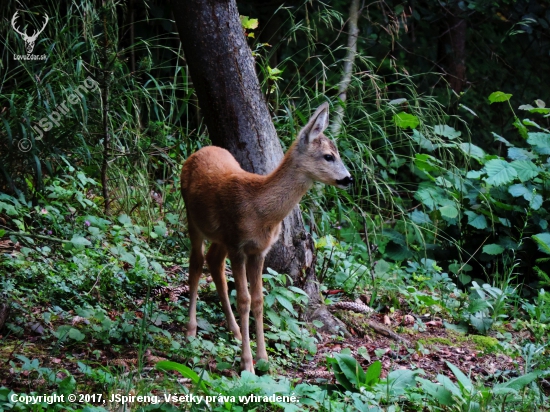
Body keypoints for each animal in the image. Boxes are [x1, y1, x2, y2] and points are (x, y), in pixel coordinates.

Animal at [181, 102, 354, 374]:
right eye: (329, 156)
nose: (349, 179)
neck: (259, 209)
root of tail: (196, 153)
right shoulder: (238, 246)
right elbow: (244, 300)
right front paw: (247, 365)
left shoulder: (258, 250)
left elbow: (259, 300)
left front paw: (263, 359)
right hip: (193, 218)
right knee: (196, 263)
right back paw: (191, 330)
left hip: (220, 237)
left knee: (214, 262)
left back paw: (235, 331)